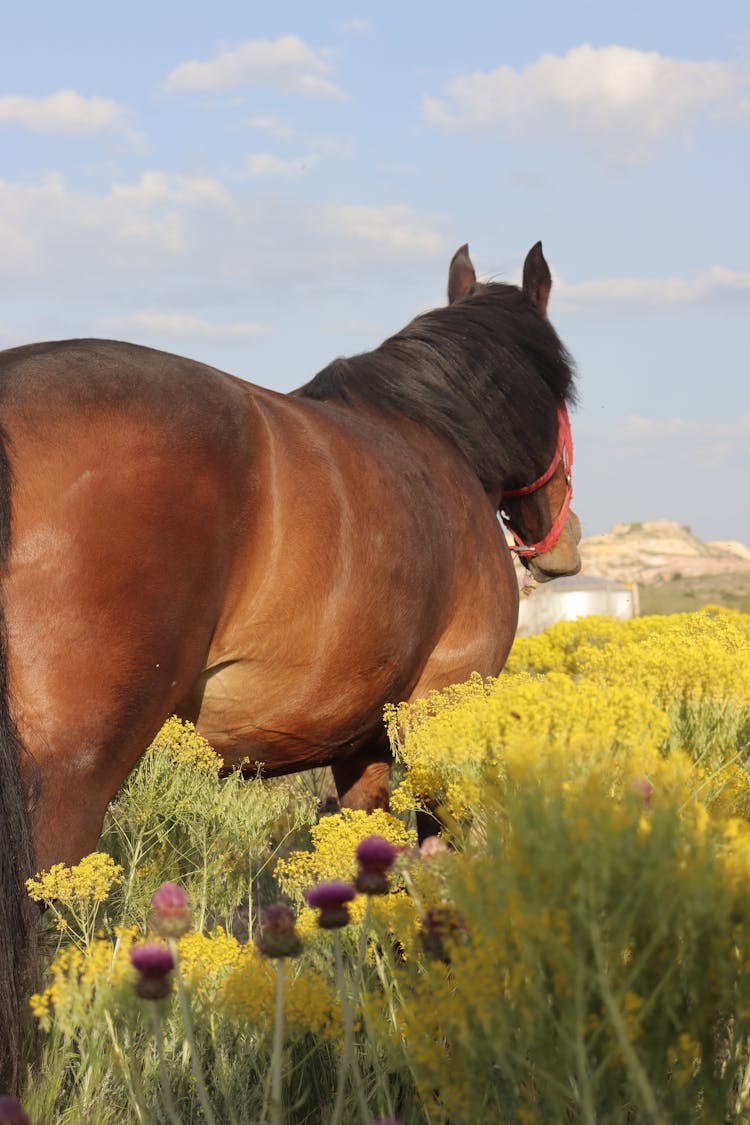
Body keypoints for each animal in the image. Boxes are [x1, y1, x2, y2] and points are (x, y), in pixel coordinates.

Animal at [0, 239, 580, 1089]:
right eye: (565, 389)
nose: (561, 547)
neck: (436, 442)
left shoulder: (360, 744)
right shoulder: (436, 709)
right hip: (71, 783)